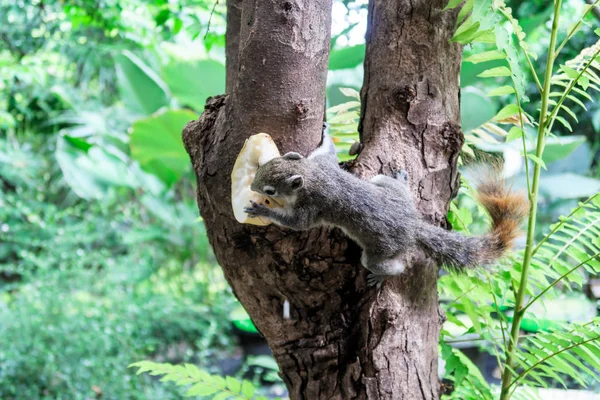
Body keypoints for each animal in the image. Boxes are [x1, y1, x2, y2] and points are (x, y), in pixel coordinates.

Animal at [243, 122, 524, 284]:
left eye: (270, 190)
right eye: (265, 164)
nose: (252, 187)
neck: (312, 176)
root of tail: (412, 225)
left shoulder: (311, 208)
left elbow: (295, 223)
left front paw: (262, 209)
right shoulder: (322, 164)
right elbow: (327, 152)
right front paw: (326, 132)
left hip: (381, 252)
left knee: (391, 266)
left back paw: (382, 276)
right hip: (383, 184)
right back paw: (400, 179)